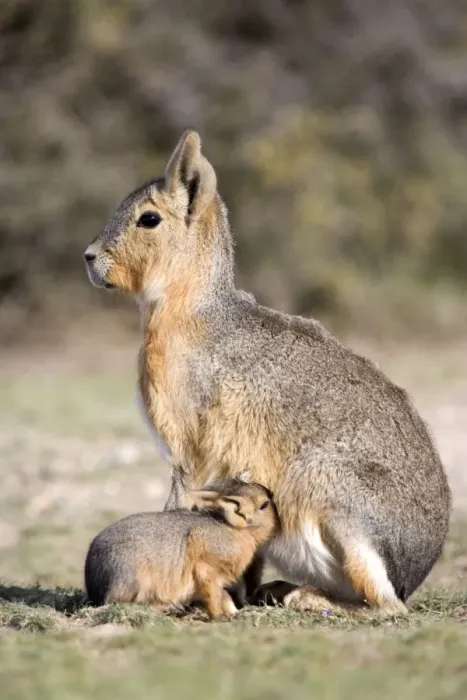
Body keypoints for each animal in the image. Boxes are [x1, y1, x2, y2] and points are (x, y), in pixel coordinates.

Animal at [84, 481, 279, 619]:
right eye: (264, 505)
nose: (271, 491)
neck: (233, 530)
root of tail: (93, 583)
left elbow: (225, 596)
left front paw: (234, 612)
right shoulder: (206, 568)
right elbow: (213, 595)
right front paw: (219, 616)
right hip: (135, 581)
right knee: (120, 603)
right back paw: (170, 606)